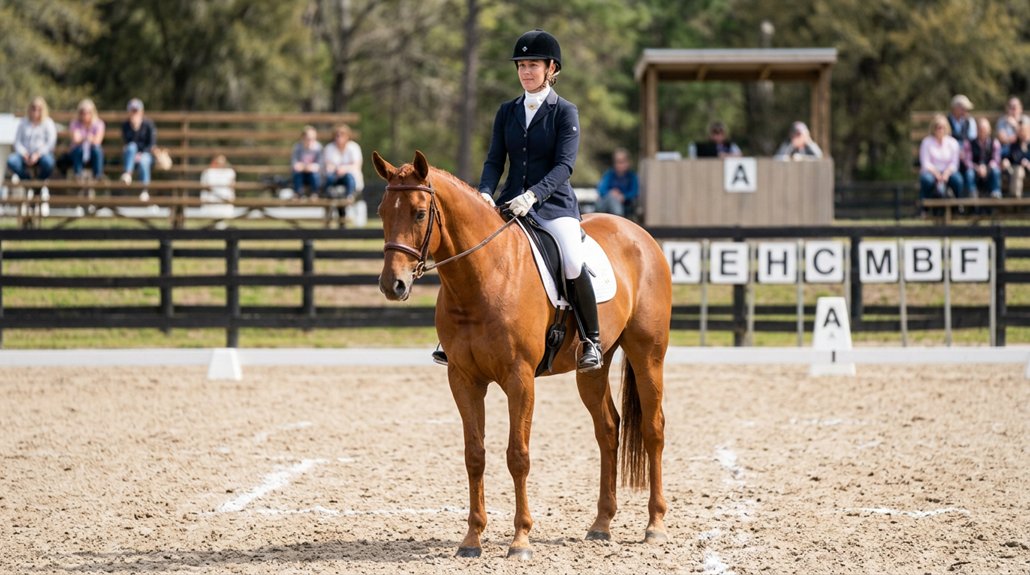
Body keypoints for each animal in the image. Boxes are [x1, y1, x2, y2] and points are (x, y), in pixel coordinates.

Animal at [373, 150, 671, 559]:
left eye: (419, 213)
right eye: (382, 211)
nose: (393, 285)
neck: (483, 276)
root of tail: (639, 233)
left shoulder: (520, 379)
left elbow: (518, 455)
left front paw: (520, 540)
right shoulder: (463, 379)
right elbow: (475, 455)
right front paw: (472, 540)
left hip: (648, 354)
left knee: (653, 429)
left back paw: (655, 525)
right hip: (592, 369)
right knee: (608, 429)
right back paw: (601, 525)